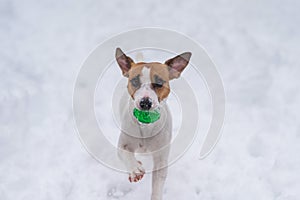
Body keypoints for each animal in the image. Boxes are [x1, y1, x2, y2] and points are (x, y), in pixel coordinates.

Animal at [116, 48, 191, 200]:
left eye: (159, 83)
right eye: (135, 81)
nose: (145, 102)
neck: (146, 126)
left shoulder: (161, 159)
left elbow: (158, 183)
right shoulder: (123, 144)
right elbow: (125, 153)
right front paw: (135, 169)